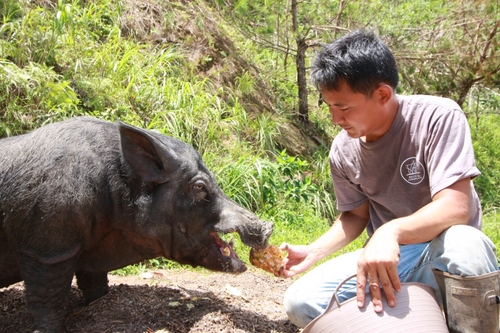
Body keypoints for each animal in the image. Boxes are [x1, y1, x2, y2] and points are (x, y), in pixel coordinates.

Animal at [0, 115, 274, 330]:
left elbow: (95, 284)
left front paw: (97, 305)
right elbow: (47, 300)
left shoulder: (91, 252)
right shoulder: (48, 248)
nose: (267, 227)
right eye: (199, 187)